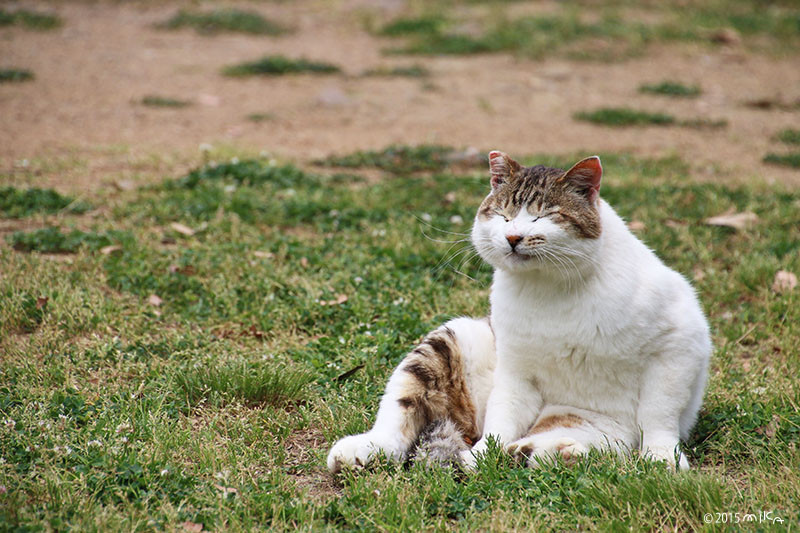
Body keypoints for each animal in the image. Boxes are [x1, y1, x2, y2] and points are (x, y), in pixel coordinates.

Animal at [324, 152, 712, 472]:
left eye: (544, 215)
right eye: (503, 214)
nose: (513, 237)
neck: (549, 286)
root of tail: (468, 425)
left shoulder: (679, 345)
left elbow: (659, 414)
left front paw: (661, 458)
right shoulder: (515, 368)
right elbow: (503, 416)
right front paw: (483, 456)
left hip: (591, 425)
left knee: (554, 446)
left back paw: (550, 453)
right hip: (448, 342)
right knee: (400, 413)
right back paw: (365, 450)